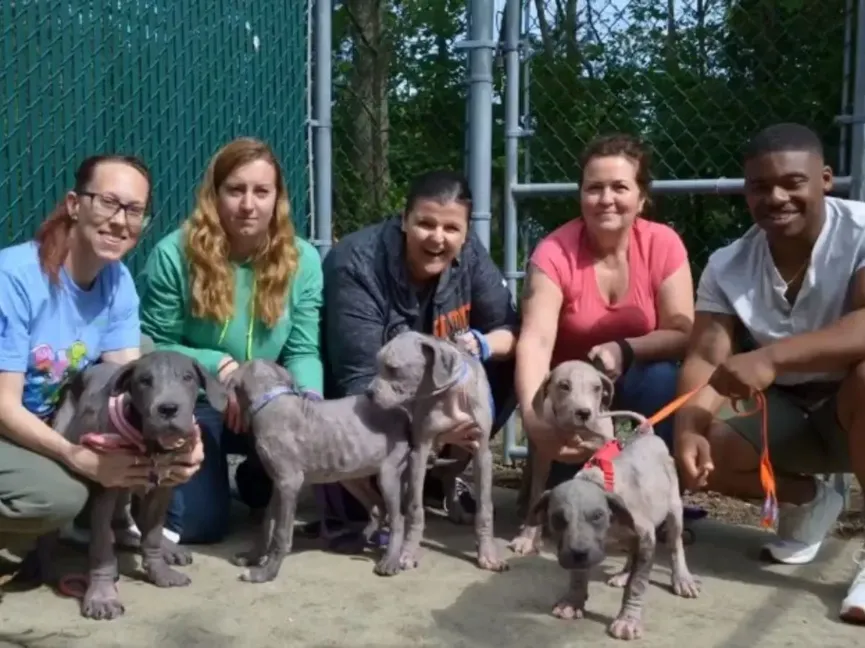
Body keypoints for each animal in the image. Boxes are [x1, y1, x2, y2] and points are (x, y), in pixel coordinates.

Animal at [44, 352, 228, 620]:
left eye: (187, 377)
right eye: (144, 381)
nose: (168, 409)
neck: (152, 447)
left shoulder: (162, 488)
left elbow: (152, 534)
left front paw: (159, 569)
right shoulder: (105, 485)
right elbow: (101, 547)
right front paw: (102, 596)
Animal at [226, 360, 416, 584]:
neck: (271, 400)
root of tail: (402, 411)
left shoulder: (289, 483)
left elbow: (281, 532)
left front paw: (266, 573)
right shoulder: (278, 484)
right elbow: (267, 524)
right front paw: (253, 557)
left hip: (388, 474)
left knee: (398, 519)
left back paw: (390, 561)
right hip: (351, 474)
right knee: (377, 508)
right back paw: (355, 544)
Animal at [362, 334, 506, 572]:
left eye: (393, 368)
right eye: (377, 365)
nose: (368, 393)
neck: (450, 394)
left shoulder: (482, 452)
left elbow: (485, 509)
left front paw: (488, 555)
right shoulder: (419, 452)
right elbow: (415, 508)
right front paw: (407, 552)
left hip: (462, 453)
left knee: (448, 477)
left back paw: (456, 511)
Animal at [510, 360, 616, 556]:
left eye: (597, 388)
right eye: (564, 386)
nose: (584, 413)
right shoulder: (543, 455)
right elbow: (537, 495)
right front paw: (527, 538)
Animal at [528, 412, 704, 640]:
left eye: (597, 516)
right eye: (557, 518)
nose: (578, 554)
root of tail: (647, 434)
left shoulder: (646, 538)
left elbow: (637, 584)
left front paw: (628, 620)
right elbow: (578, 575)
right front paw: (572, 602)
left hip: (673, 507)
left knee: (675, 545)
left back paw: (682, 580)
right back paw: (623, 575)